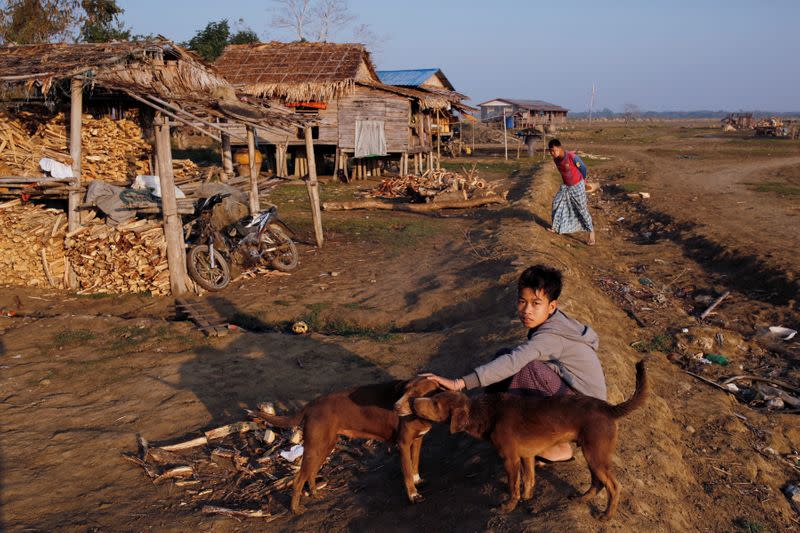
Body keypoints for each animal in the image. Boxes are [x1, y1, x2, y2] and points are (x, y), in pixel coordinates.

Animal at [258, 376, 438, 512]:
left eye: (415, 394)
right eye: (403, 391)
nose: (395, 407)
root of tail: (310, 405)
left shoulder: (417, 440)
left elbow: (415, 463)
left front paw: (417, 480)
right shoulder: (403, 444)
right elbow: (407, 472)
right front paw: (413, 495)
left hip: (324, 447)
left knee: (311, 473)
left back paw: (315, 493)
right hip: (315, 448)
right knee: (298, 479)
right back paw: (295, 509)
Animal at [410, 360, 648, 516]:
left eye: (435, 404)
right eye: (434, 396)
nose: (413, 402)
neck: (486, 413)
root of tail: (609, 408)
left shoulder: (510, 459)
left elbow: (513, 485)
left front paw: (508, 507)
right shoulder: (526, 456)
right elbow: (529, 479)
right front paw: (527, 498)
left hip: (596, 455)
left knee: (614, 487)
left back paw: (606, 516)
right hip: (593, 455)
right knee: (598, 483)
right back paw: (583, 498)